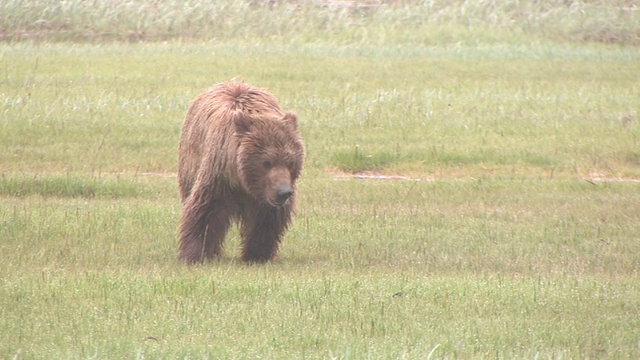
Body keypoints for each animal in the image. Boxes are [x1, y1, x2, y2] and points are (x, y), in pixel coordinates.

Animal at [176, 80, 304, 262]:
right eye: (267, 162)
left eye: (290, 162)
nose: (284, 192)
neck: (243, 181)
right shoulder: (219, 174)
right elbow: (205, 210)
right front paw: (195, 254)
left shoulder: (265, 194)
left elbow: (267, 218)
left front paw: (257, 254)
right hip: (190, 162)